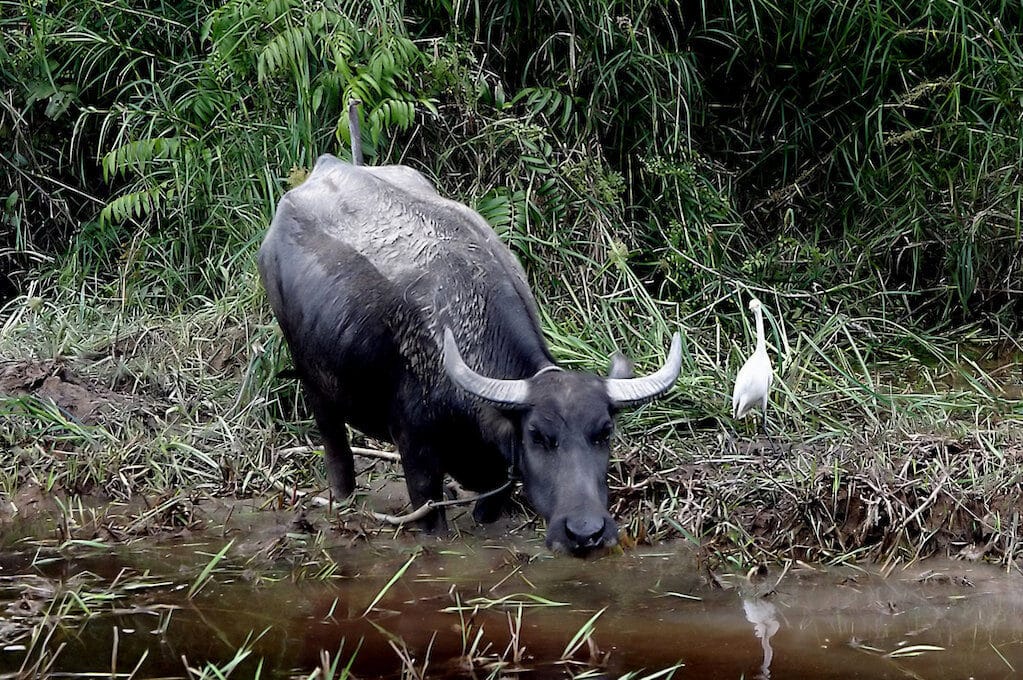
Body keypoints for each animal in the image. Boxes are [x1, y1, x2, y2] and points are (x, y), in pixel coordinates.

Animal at [258, 154, 681, 555]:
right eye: (537, 435)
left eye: (604, 432)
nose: (585, 532)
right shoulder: (415, 450)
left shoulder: (500, 471)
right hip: (312, 378)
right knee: (334, 442)